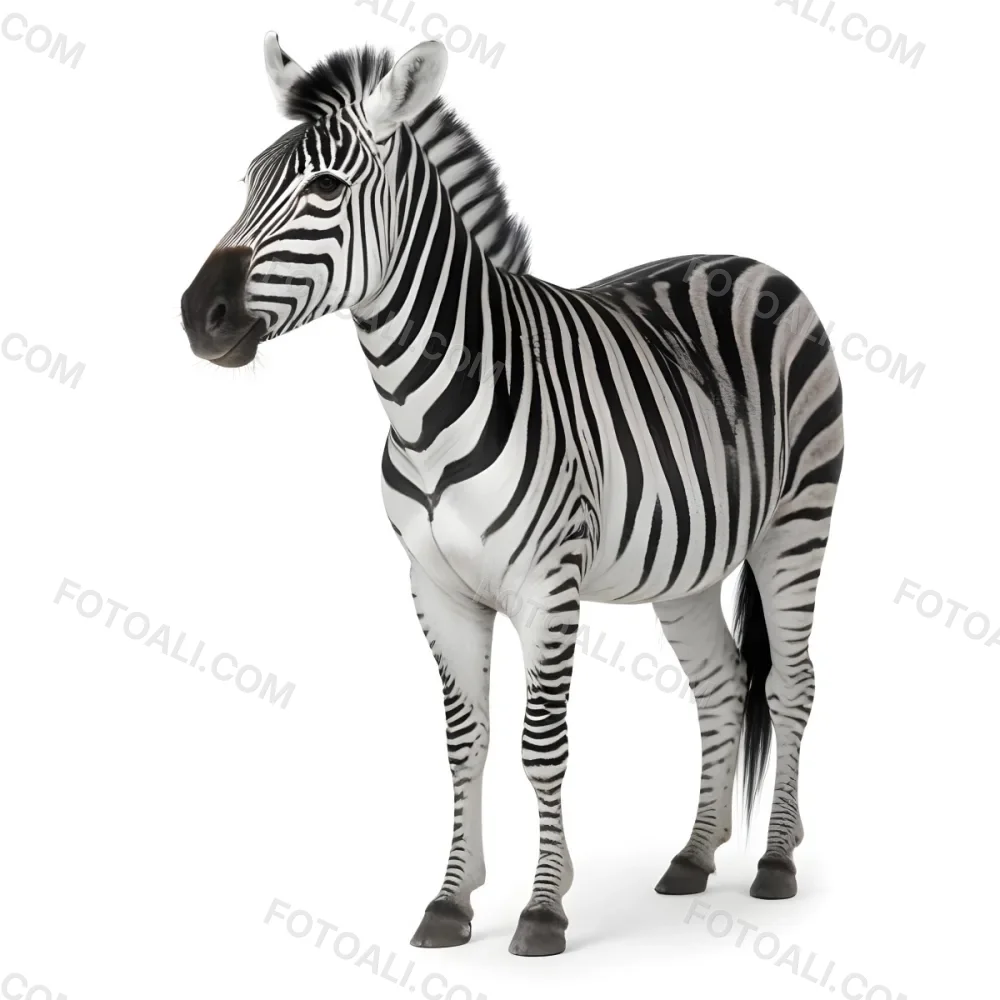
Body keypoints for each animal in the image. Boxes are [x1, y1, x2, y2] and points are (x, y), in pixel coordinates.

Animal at [180, 35, 844, 957]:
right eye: (247, 182)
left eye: (327, 189)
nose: (195, 315)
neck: (421, 406)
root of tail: (754, 262)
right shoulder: (437, 588)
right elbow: (466, 742)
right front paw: (451, 902)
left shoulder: (546, 587)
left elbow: (540, 745)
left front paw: (542, 909)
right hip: (688, 566)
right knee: (720, 682)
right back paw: (693, 856)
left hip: (797, 525)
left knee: (790, 683)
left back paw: (777, 860)